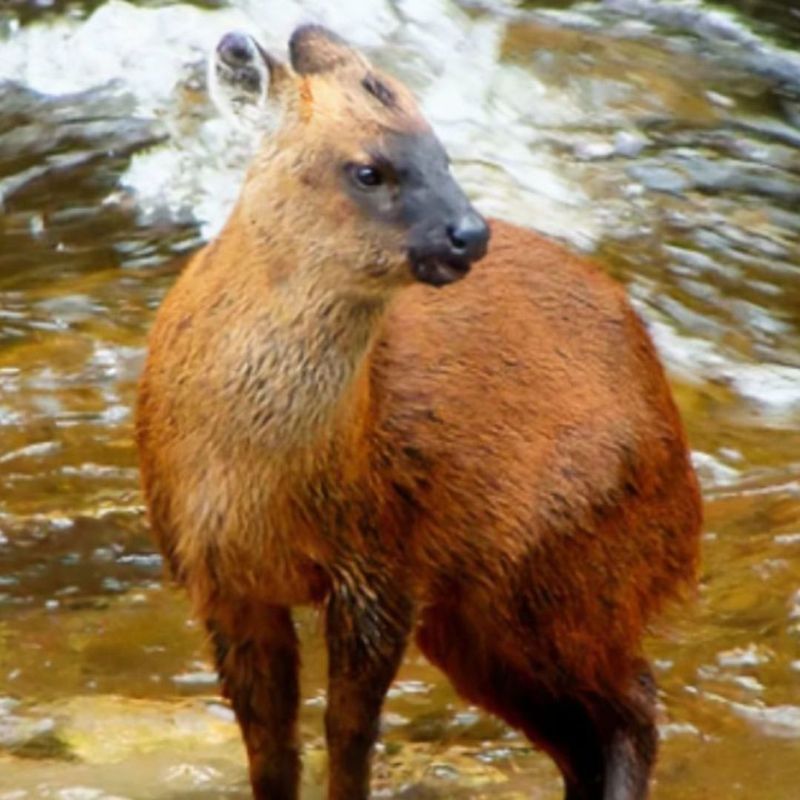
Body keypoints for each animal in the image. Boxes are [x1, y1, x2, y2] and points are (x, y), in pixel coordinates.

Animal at [136, 23, 700, 800]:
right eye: (368, 170)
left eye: (445, 153)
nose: (470, 234)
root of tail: (688, 504)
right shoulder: (216, 576)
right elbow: (271, 748)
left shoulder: (383, 561)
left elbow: (347, 733)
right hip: (486, 617)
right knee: (589, 729)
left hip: (561, 572)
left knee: (632, 703)